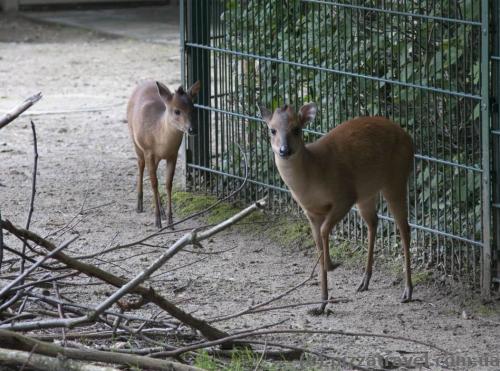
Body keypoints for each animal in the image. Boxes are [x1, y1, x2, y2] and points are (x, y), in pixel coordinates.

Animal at [127, 80, 201, 228]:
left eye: (193, 108)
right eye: (177, 111)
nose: (192, 129)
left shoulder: (173, 154)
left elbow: (168, 183)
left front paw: (171, 221)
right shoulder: (149, 151)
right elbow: (154, 183)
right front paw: (157, 221)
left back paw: (160, 209)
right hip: (135, 141)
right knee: (140, 165)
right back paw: (139, 205)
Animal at [258, 103, 414, 316]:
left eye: (296, 129)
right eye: (272, 130)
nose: (284, 150)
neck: (314, 174)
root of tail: (409, 138)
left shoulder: (344, 197)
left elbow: (325, 232)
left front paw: (332, 268)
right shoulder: (310, 212)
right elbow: (318, 243)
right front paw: (321, 303)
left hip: (396, 177)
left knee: (404, 227)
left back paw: (407, 291)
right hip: (366, 192)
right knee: (373, 222)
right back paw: (364, 282)